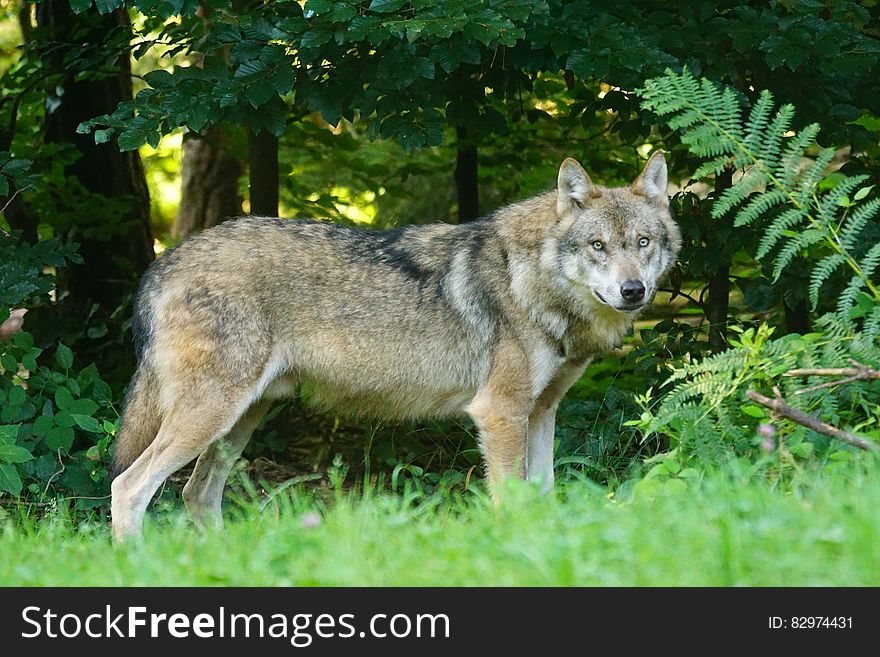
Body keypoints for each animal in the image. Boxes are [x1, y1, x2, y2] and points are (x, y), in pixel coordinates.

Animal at [108, 152, 672, 540]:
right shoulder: (500, 413)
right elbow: (511, 501)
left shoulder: (542, 410)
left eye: (643, 243)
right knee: (128, 487)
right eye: (598, 246)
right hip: (211, 416)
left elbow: (544, 495)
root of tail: (164, 262)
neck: (530, 279)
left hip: (239, 421)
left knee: (196, 493)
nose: (633, 291)